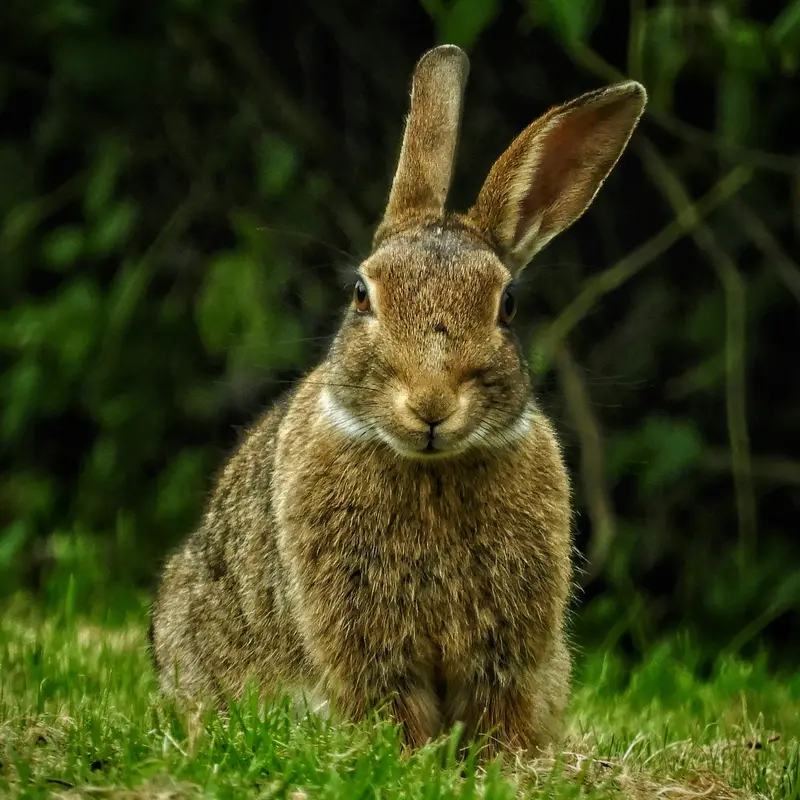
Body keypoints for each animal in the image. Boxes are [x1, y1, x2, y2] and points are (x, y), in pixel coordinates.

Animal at [150, 43, 646, 758]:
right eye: (362, 294)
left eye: (507, 306)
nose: (431, 404)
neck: (431, 469)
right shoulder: (363, 640)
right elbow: (390, 701)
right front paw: (411, 759)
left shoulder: (509, 651)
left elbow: (497, 706)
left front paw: (501, 762)